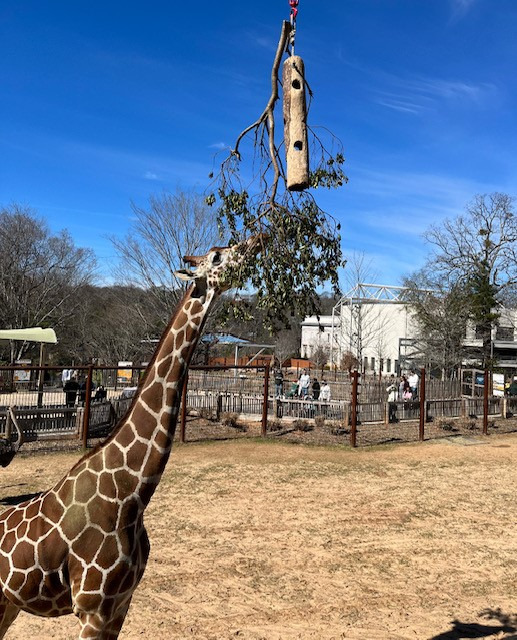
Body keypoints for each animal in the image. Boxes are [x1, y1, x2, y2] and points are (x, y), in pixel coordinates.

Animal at [0, 238, 262, 636]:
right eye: (217, 256)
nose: (257, 241)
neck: (132, 492)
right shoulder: (92, 610)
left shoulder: (120, 607)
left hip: (8, 603)